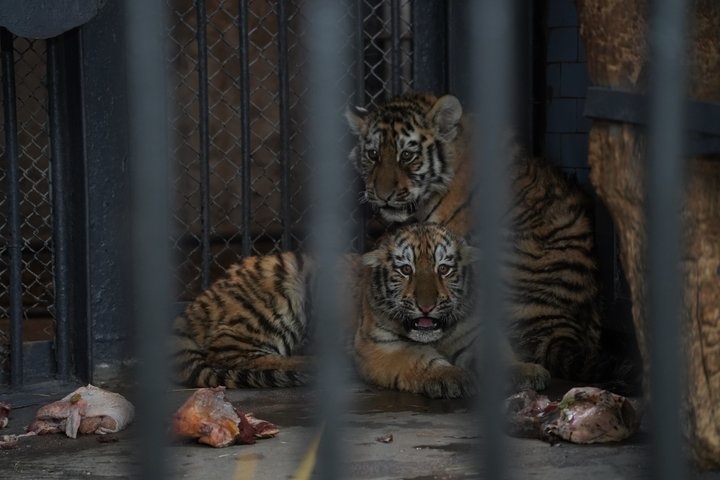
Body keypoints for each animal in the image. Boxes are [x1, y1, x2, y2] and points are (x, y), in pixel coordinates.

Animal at [354, 222, 550, 398]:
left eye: (443, 269)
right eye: (406, 269)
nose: (426, 307)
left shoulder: (473, 333)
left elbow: (498, 351)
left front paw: (523, 370)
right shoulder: (382, 345)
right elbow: (421, 359)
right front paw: (451, 377)